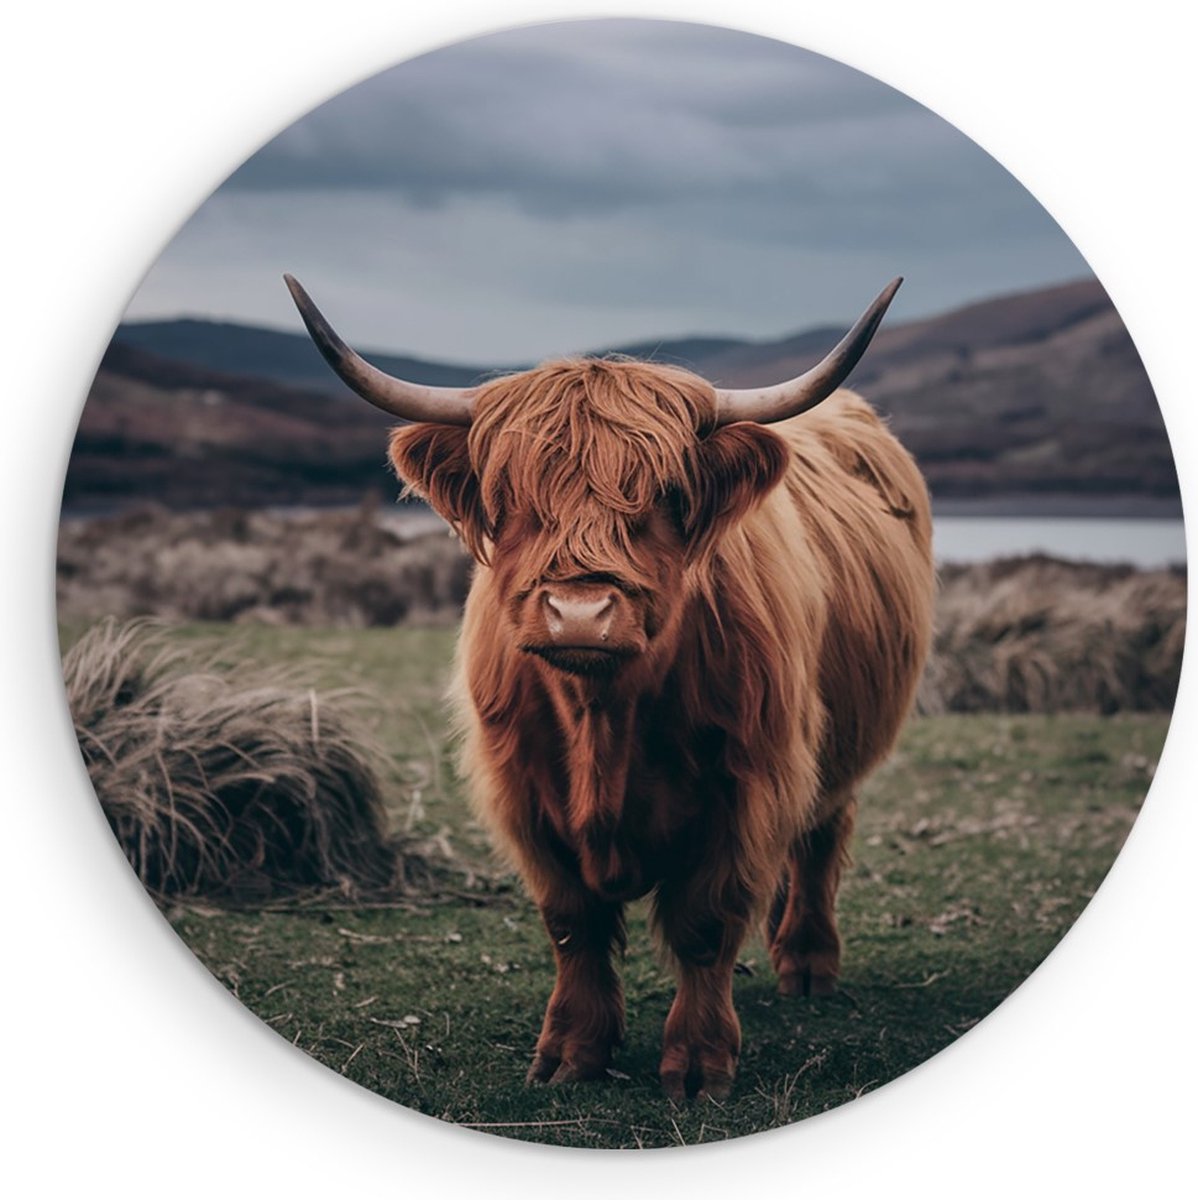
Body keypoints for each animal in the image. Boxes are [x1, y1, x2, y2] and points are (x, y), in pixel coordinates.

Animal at [285, 274, 935, 1101]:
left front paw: (698, 1067)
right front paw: (571, 1053)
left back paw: (808, 962)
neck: (604, 720)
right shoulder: (522, 789)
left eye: (667, 496)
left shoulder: (746, 780)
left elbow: (706, 922)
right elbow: (574, 922)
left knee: (822, 833)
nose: (580, 612)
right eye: (513, 499)